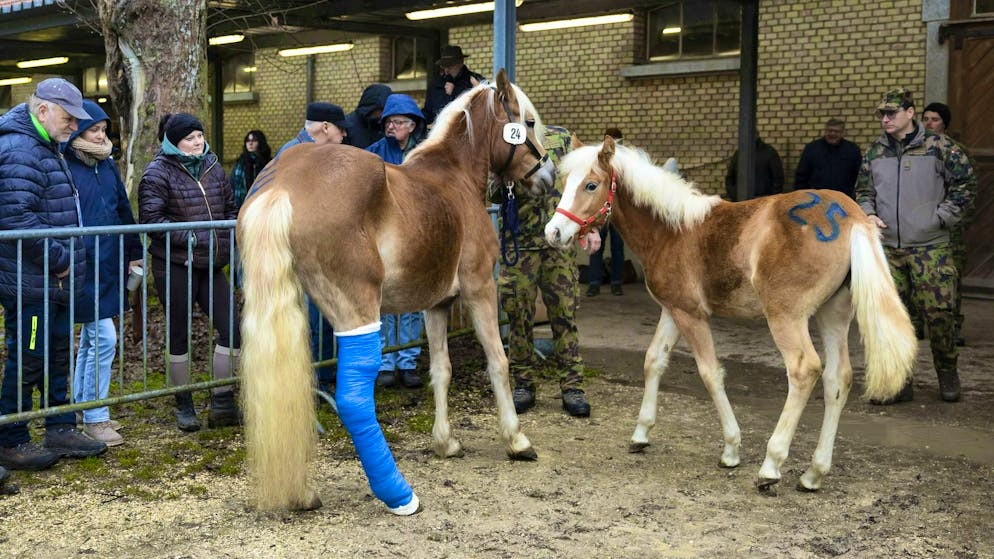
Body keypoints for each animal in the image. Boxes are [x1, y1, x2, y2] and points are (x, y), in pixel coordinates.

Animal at [236, 70, 554, 512]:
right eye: (527, 121)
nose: (547, 176)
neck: (454, 178)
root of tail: (285, 183)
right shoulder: (479, 289)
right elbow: (498, 361)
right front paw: (516, 439)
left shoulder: (436, 304)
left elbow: (441, 369)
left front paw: (445, 442)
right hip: (357, 308)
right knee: (354, 397)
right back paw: (398, 493)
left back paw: (301, 492)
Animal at [544, 136, 917, 491]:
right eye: (565, 181)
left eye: (591, 185)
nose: (553, 233)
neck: (672, 230)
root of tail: (851, 218)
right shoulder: (672, 310)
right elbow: (654, 361)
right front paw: (641, 433)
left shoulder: (692, 315)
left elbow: (710, 373)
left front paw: (731, 449)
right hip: (832, 316)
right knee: (838, 379)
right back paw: (813, 473)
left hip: (786, 318)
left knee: (804, 370)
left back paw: (771, 466)